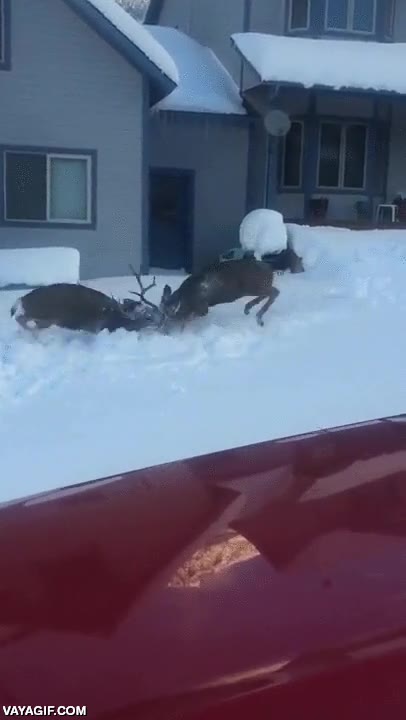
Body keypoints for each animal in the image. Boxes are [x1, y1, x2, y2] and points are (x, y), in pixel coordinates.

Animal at [10, 272, 164, 335]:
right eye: (147, 316)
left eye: (155, 311)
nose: (161, 322)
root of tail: (22, 298)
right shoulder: (97, 327)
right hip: (43, 312)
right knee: (20, 318)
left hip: (43, 318)